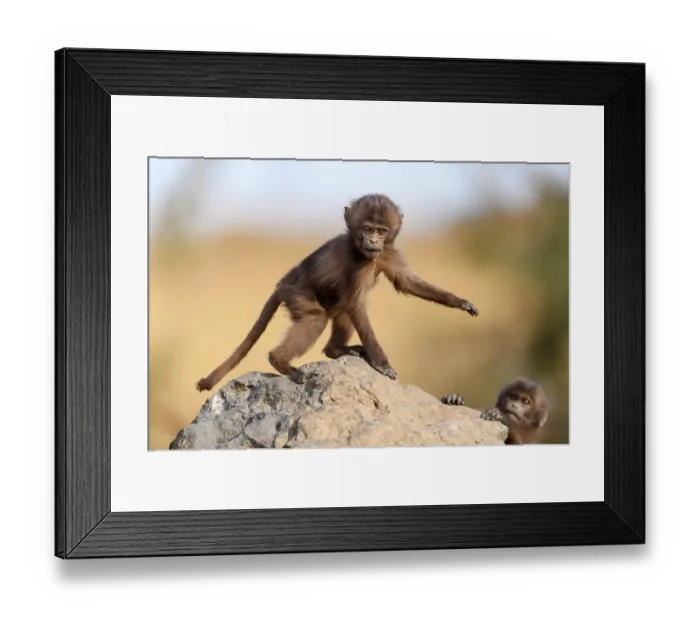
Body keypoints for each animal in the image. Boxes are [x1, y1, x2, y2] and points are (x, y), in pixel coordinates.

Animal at [195, 193, 480, 392]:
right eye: (368, 228)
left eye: (382, 231)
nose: (373, 241)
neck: (366, 253)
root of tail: (282, 284)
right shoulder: (358, 264)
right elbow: (357, 303)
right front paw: (381, 363)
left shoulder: (387, 254)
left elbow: (406, 283)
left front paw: (461, 302)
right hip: (298, 294)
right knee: (318, 318)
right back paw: (280, 362)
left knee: (341, 312)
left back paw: (335, 351)